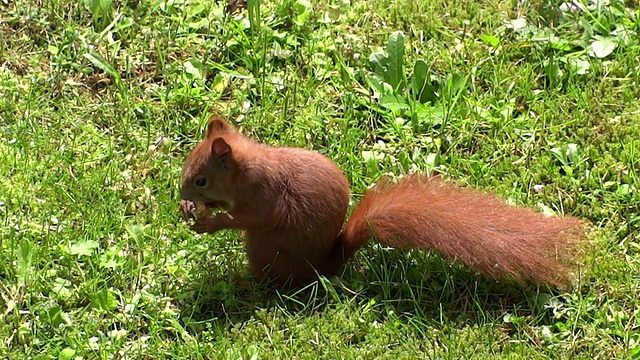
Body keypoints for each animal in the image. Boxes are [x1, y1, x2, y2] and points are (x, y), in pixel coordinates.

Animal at [179, 116, 584, 288]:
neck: (244, 171)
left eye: (200, 179)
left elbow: (244, 218)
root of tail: (324, 265)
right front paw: (192, 211)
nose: (181, 196)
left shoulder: (261, 194)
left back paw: (248, 285)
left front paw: (208, 222)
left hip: (264, 249)